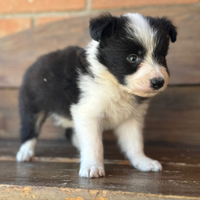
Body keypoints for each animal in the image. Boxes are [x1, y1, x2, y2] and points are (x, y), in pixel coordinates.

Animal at [16, 12, 177, 178]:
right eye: (132, 58)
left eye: (161, 57)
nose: (158, 82)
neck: (115, 84)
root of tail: (36, 62)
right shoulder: (87, 113)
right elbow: (94, 143)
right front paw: (92, 166)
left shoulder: (131, 118)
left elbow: (134, 142)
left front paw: (142, 161)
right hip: (31, 105)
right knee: (29, 129)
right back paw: (25, 152)